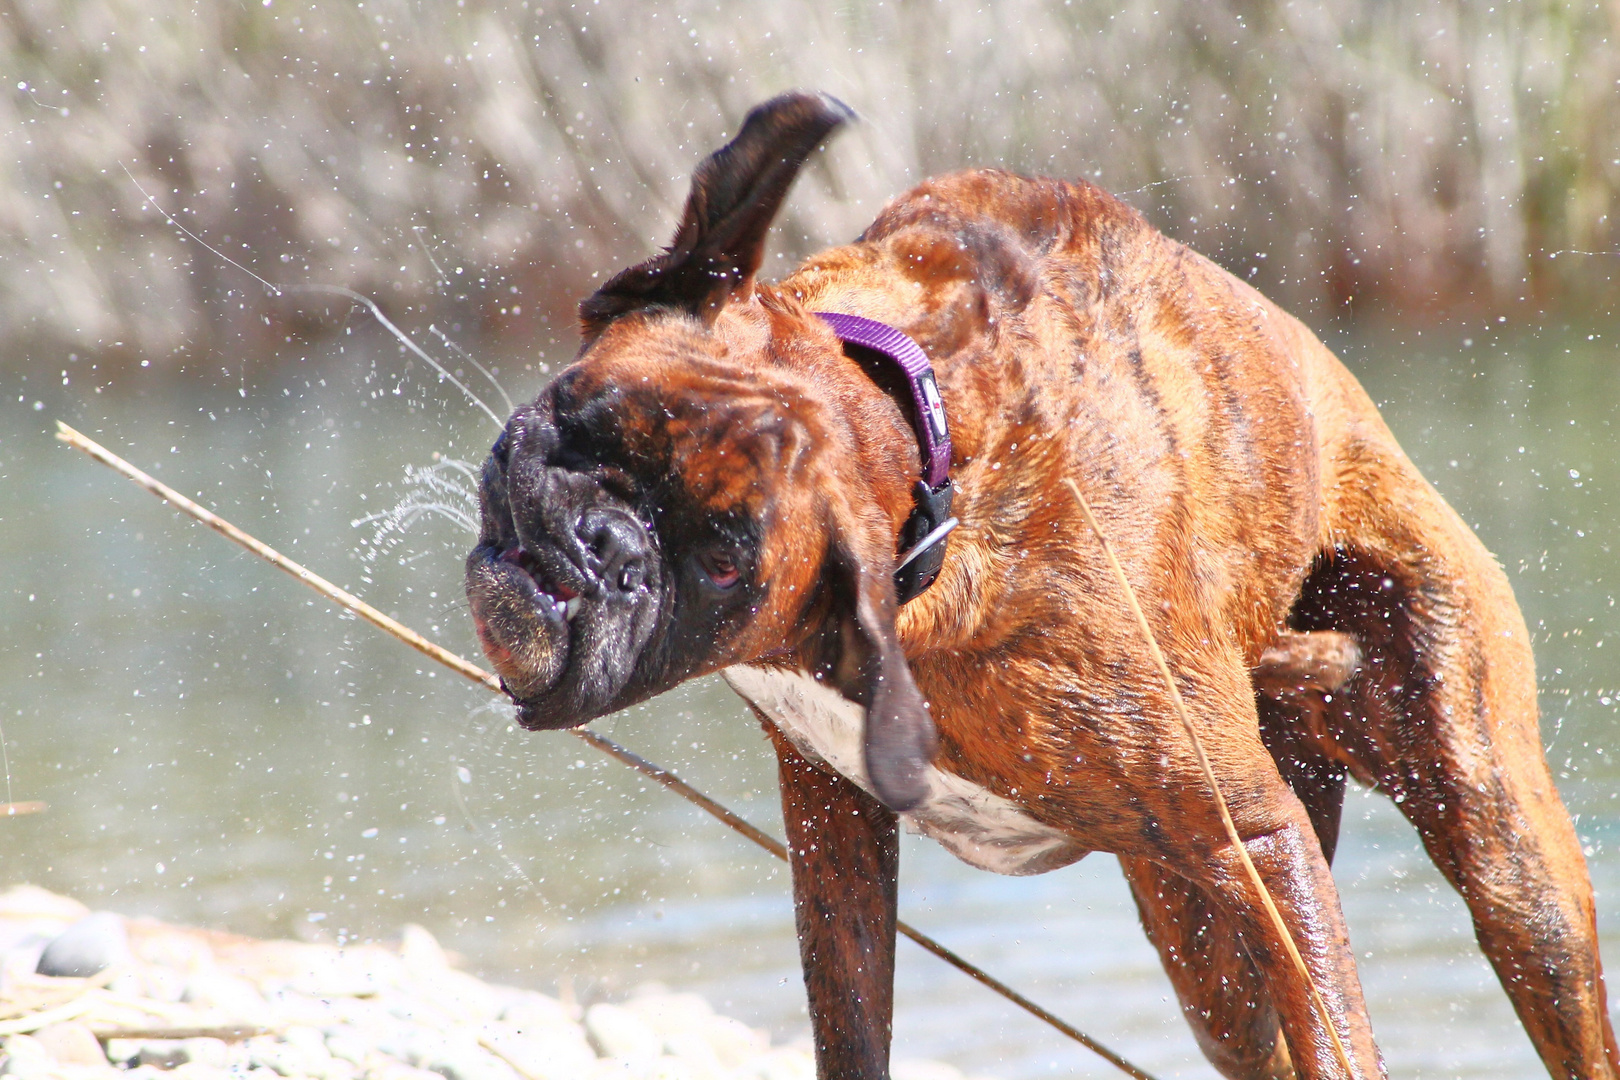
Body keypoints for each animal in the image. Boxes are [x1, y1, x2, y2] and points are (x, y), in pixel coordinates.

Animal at [463, 95, 1613, 1080]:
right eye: (590, 416)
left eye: (723, 564)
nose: (603, 545)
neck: (923, 451)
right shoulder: (835, 826)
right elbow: (852, 1024)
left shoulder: (1255, 840)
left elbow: (1338, 1037)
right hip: (1204, 946)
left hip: (1504, 862)